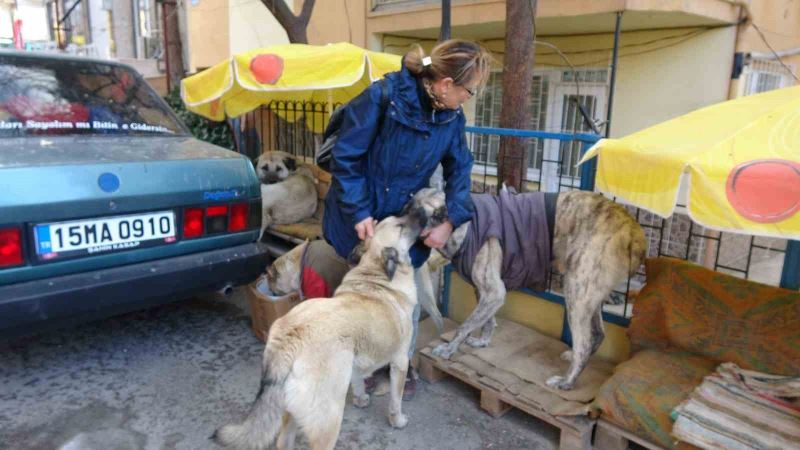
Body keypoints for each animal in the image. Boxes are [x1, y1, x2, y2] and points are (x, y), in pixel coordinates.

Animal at [211, 211, 424, 450]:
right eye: (400, 225)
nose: (422, 213)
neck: (375, 273)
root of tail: (290, 337)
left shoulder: (355, 364)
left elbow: (358, 381)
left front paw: (360, 399)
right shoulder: (400, 361)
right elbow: (396, 400)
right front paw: (397, 420)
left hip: (291, 409)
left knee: (283, 441)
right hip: (329, 420)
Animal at [410, 186, 648, 390]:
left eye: (417, 215)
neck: (463, 225)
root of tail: (633, 231)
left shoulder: (494, 292)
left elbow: (464, 325)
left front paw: (448, 349)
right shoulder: (483, 292)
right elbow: (486, 321)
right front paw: (482, 341)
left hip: (576, 292)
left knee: (584, 343)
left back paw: (567, 381)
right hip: (589, 294)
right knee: (597, 333)